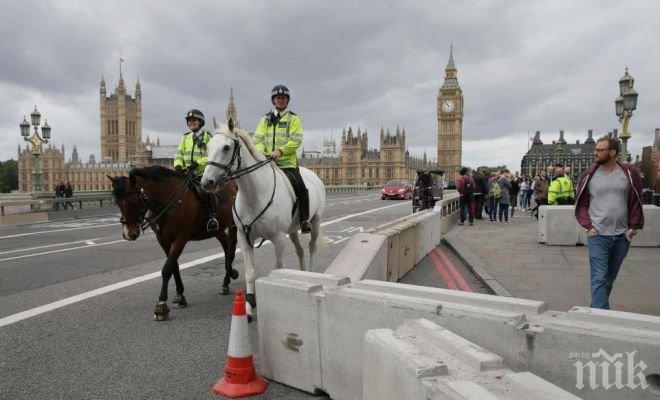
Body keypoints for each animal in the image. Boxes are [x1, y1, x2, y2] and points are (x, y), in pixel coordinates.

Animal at [108, 166, 240, 322]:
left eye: (134, 201)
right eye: (117, 202)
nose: (129, 234)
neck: (169, 200)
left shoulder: (180, 238)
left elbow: (167, 268)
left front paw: (161, 305)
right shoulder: (163, 239)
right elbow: (174, 267)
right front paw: (180, 296)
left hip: (233, 226)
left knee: (231, 250)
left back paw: (229, 277)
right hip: (217, 230)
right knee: (227, 247)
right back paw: (227, 279)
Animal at [201, 117, 324, 320]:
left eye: (226, 147)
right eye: (208, 146)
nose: (206, 183)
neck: (254, 195)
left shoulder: (279, 238)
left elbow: (278, 267)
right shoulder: (244, 238)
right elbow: (250, 272)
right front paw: (249, 305)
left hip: (315, 223)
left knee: (312, 247)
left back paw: (312, 272)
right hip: (292, 230)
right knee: (299, 250)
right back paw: (302, 274)